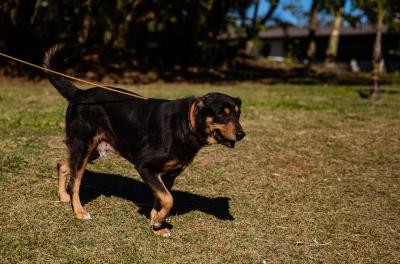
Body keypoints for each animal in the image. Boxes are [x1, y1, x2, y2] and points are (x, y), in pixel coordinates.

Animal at [43, 45, 244, 237]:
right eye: (222, 114)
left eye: (237, 114)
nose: (242, 134)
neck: (187, 124)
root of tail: (79, 93)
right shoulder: (144, 166)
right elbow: (169, 199)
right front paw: (157, 222)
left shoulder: (168, 175)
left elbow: (161, 200)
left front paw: (157, 225)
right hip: (83, 145)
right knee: (75, 182)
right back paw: (79, 211)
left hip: (93, 149)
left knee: (62, 164)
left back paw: (63, 196)